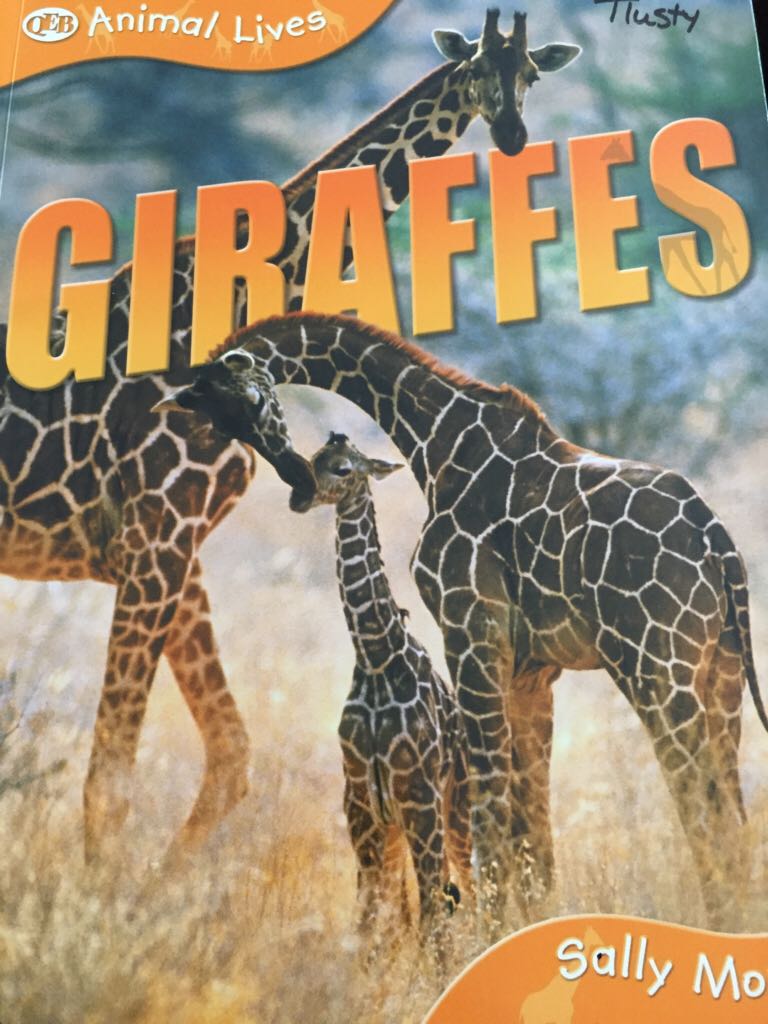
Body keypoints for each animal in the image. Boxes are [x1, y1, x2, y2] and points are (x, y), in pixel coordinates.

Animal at [0, 9, 580, 863]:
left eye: (531, 74)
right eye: (476, 69)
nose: (510, 134)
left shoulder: (171, 548)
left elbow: (228, 754)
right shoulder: (156, 539)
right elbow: (111, 776)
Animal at [288, 432, 472, 948]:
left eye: (344, 468)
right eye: (314, 457)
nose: (298, 495)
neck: (376, 657)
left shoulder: (417, 798)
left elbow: (430, 915)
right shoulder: (362, 805)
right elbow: (371, 921)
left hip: (455, 809)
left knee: (470, 891)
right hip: (396, 827)